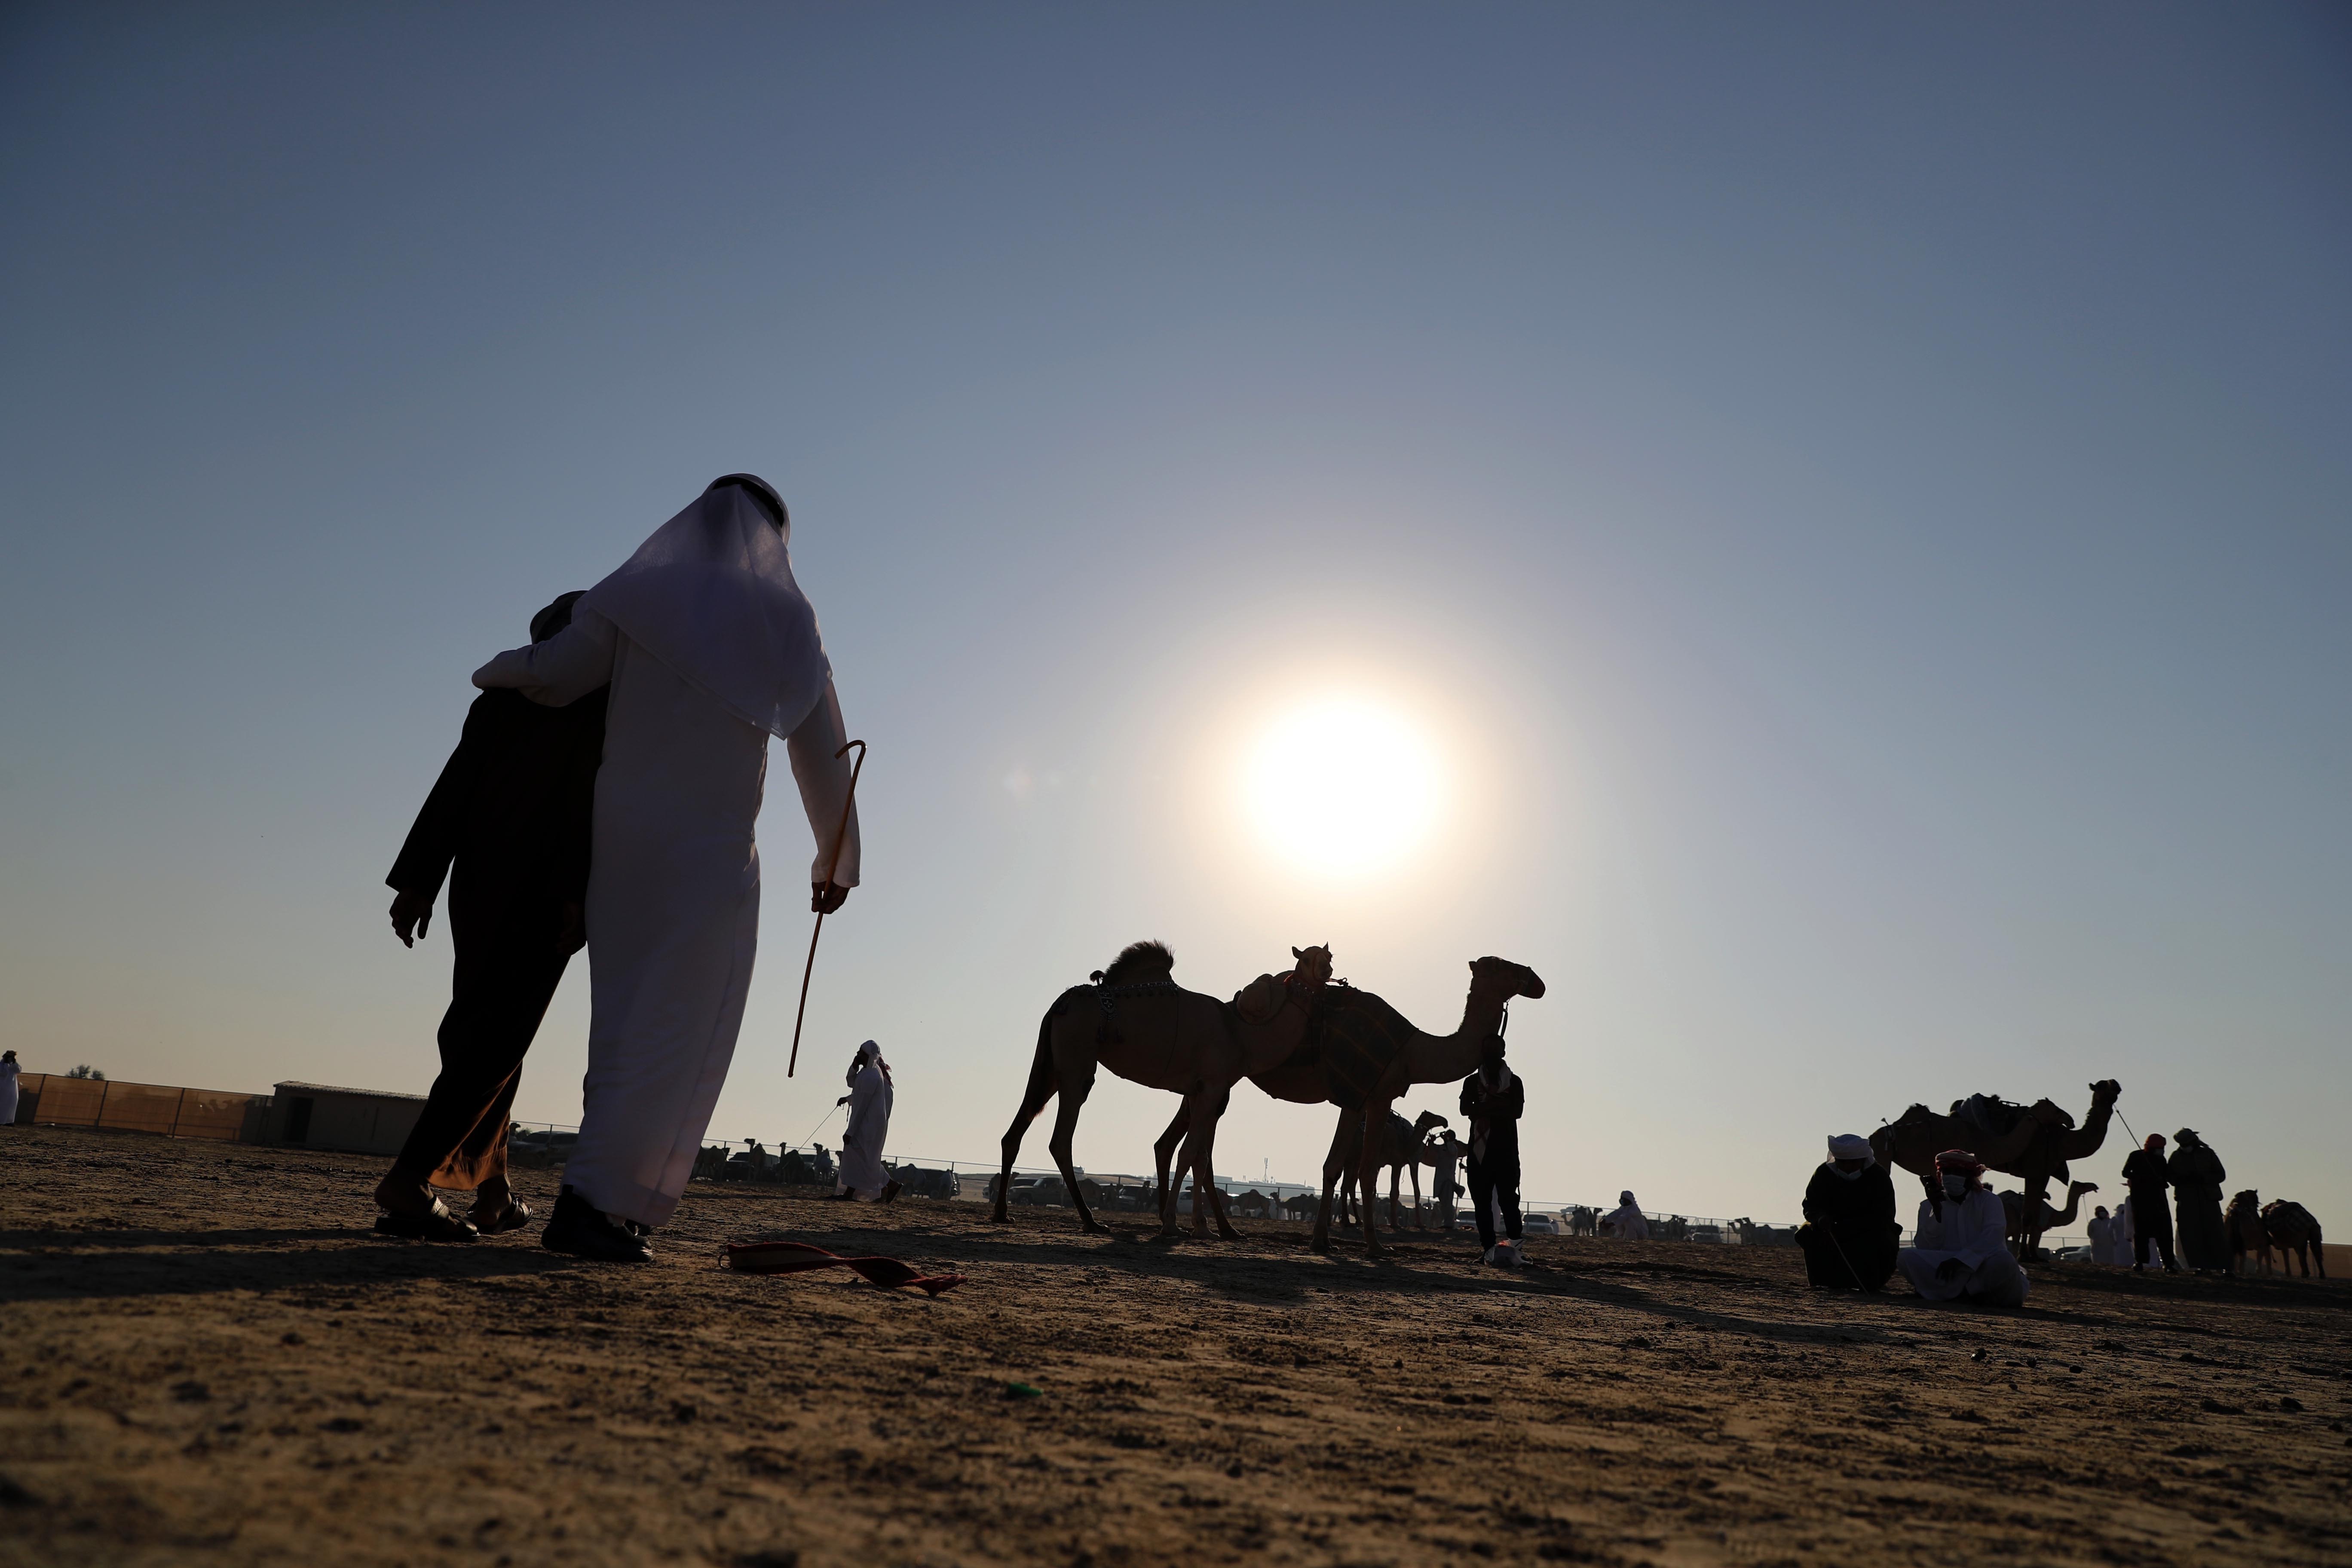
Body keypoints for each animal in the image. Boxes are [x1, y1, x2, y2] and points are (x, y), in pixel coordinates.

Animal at [983, 940, 1336, 1241]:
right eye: (1307, 958)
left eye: (1329, 956)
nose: (1327, 970)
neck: (1243, 1036)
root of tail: (1060, 1003)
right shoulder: (1213, 1086)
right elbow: (1190, 1154)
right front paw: (1174, 1225)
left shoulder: (1200, 1091)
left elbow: (1199, 1158)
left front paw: (1203, 1228)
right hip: (1076, 1065)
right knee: (1060, 1139)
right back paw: (1091, 1221)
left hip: (1049, 1067)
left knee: (1016, 1129)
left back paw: (1002, 1213)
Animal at [1872, 1086, 2135, 1260]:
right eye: (2105, 1088)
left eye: (2115, 1088)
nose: (2069, 1119)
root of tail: (1882, 1130)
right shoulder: (2036, 1169)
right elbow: (2028, 1215)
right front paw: (2027, 1257)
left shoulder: (2042, 1172)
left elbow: (2032, 1212)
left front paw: (2033, 1256)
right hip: (1884, 1152)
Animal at [2267, 1204, 2324, 1279]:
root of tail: (2311, 1223)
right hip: (2315, 1232)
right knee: (2316, 1251)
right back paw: (2321, 1275)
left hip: (2301, 1236)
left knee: (2302, 1253)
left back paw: (2305, 1274)